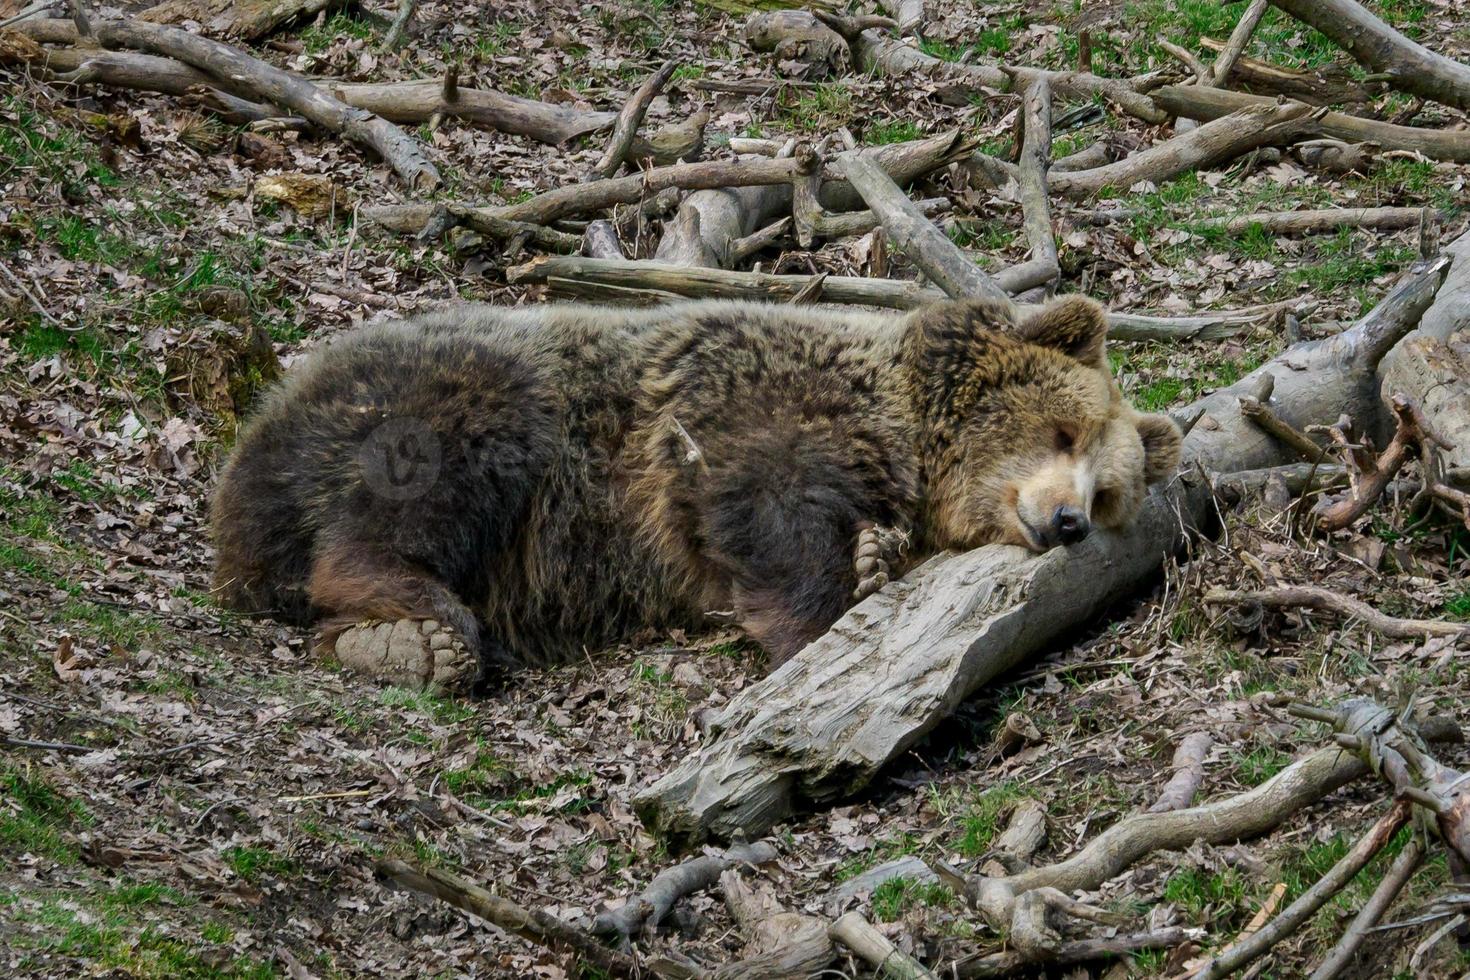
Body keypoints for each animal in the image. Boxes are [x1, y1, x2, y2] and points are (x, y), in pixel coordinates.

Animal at [210, 295, 1181, 693]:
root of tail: (269, 406)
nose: (1065, 521)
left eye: (1108, 493)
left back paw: (402, 646)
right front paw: (842, 595)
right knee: (428, 477)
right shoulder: (748, 407)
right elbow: (764, 511)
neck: (907, 433)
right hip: (464, 398)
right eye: (1063, 431)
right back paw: (420, 611)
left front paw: (876, 559)